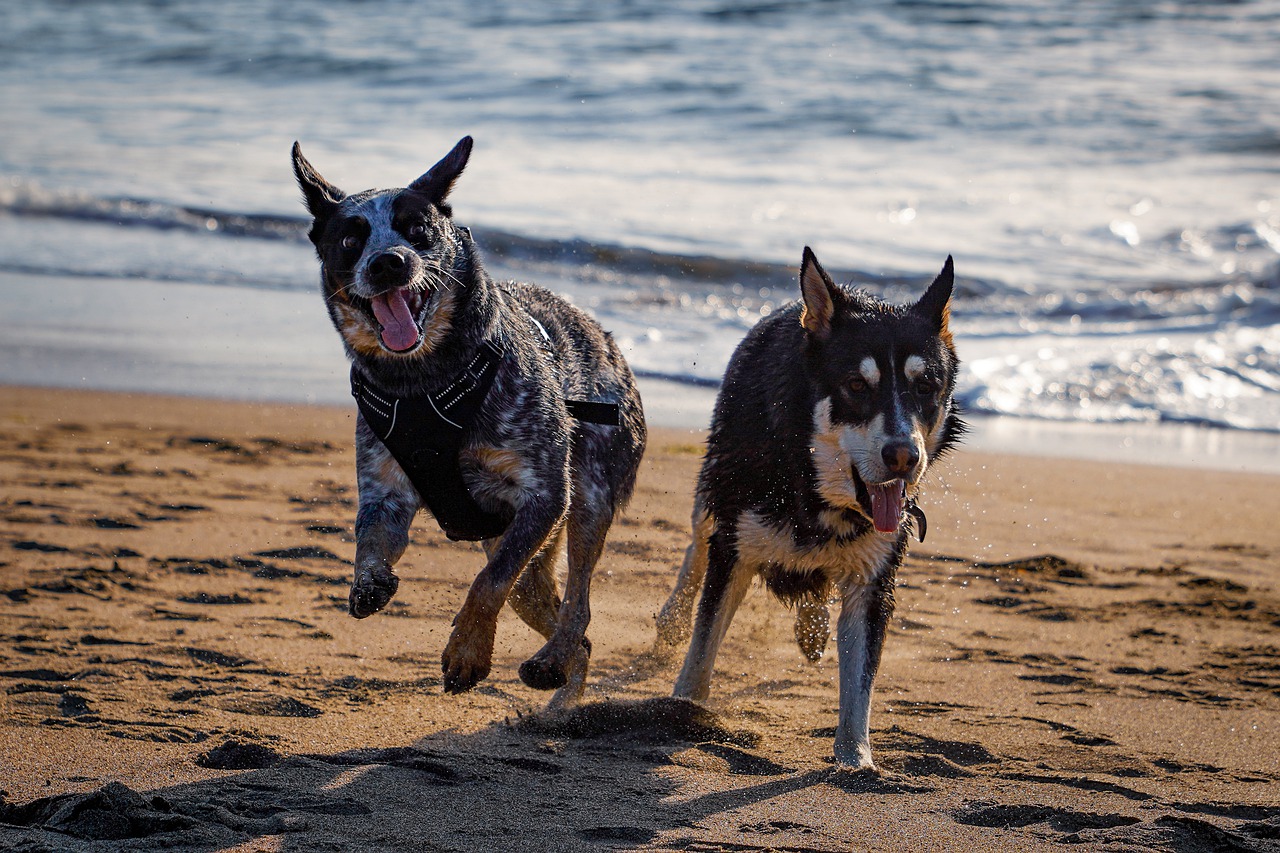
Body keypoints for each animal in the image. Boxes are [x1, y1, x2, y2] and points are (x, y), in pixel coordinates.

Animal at [293, 136, 645, 701]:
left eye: (418, 229)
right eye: (350, 240)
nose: (389, 263)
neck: (423, 383)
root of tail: (608, 341)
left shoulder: (546, 496)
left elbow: (489, 582)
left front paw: (468, 652)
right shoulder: (385, 491)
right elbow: (369, 537)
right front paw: (369, 581)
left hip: (589, 496)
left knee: (578, 604)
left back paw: (551, 661)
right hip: (528, 559)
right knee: (569, 623)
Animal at [655, 244, 962, 763]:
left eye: (926, 387)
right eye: (856, 386)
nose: (904, 456)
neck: (812, 484)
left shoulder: (874, 581)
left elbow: (859, 686)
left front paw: (855, 760)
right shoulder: (734, 548)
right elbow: (702, 647)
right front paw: (683, 711)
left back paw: (813, 628)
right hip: (714, 490)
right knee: (697, 545)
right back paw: (673, 618)